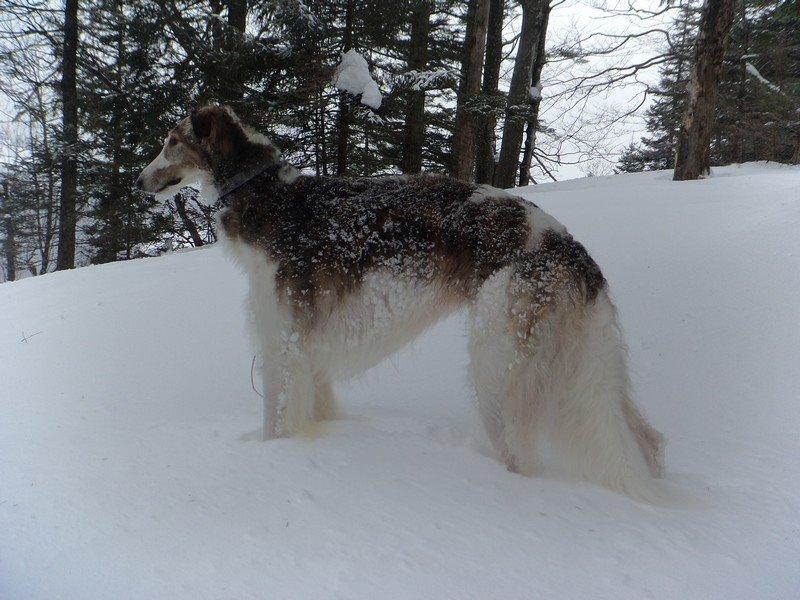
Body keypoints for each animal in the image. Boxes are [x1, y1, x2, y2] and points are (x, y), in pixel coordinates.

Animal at [136, 104, 664, 502]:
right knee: (647, 439)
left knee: (519, 454)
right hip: (590, 367)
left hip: (498, 363)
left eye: (172, 140)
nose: (139, 182)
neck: (268, 196)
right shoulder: (310, 352)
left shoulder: (282, 342)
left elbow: (277, 422)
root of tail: (567, 247)